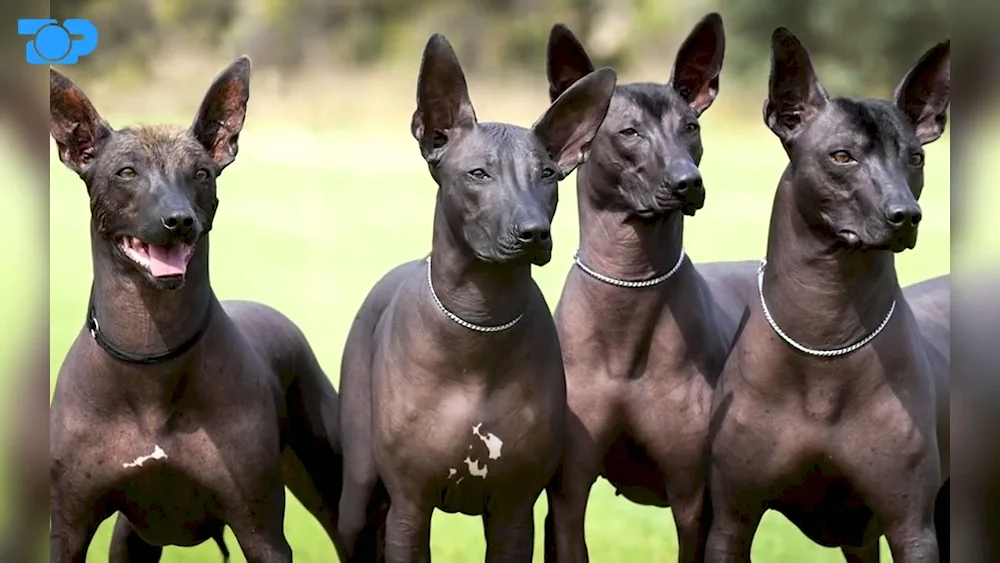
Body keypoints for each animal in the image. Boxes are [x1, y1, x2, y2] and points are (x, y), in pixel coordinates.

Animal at [336, 36, 616, 563]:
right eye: (479, 173)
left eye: (548, 175)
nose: (534, 232)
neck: (479, 323)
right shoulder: (410, 508)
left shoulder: (513, 512)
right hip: (358, 499)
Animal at [544, 12, 760, 563]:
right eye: (629, 132)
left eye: (691, 127)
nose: (689, 182)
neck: (630, 285)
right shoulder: (567, 496)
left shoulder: (693, 502)